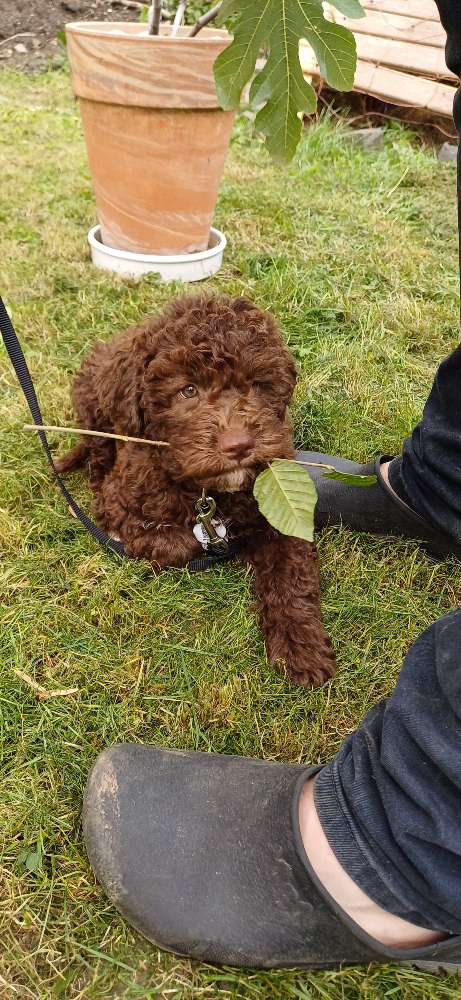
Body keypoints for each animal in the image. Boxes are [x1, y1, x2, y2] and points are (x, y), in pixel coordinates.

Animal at [57, 294, 334, 688]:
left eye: (257, 385)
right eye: (188, 390)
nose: (239, 445)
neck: (209, 492)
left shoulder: (279, 514)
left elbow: (290, 573)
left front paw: (301, 645)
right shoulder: (122, 505)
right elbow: (175, 542)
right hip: (93, 408)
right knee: (96, 447)